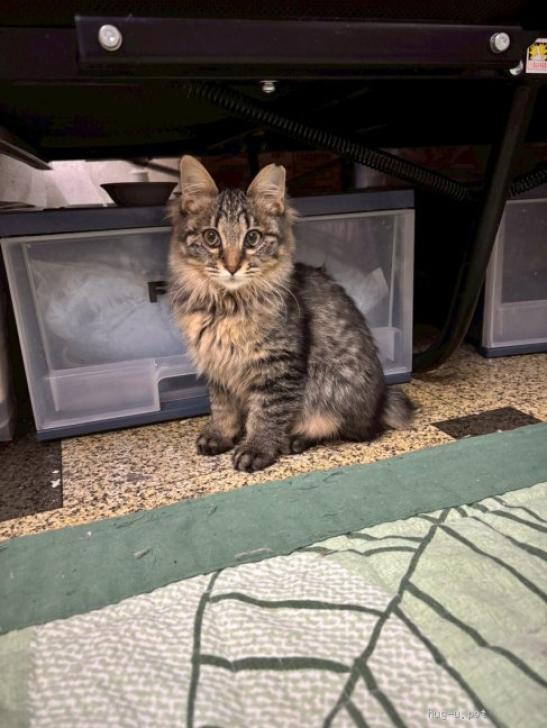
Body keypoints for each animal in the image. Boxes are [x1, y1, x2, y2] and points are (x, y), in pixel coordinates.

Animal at [169, 156, 414, 472]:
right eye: (212, 237)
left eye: (252, 238)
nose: (232, 267)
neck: (227, 307)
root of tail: (382, 402)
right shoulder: (216, 365)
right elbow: (222, 409)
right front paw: (221, 436)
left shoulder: (278, 367)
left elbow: (265, 414)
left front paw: (256, 449)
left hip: (330, 390)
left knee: (345, 429)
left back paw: (294, 440)